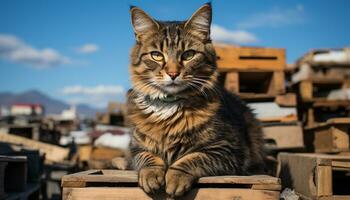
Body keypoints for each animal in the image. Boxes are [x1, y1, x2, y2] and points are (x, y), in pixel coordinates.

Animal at [127, 3, 264, 198]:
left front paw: (175, 178)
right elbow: (147, 158)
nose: (173, 73)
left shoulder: (227, 149)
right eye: (157, 55)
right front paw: (151, 174)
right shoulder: (136, 147)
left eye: (188, 55)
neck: (169, 107)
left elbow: (192, 158)